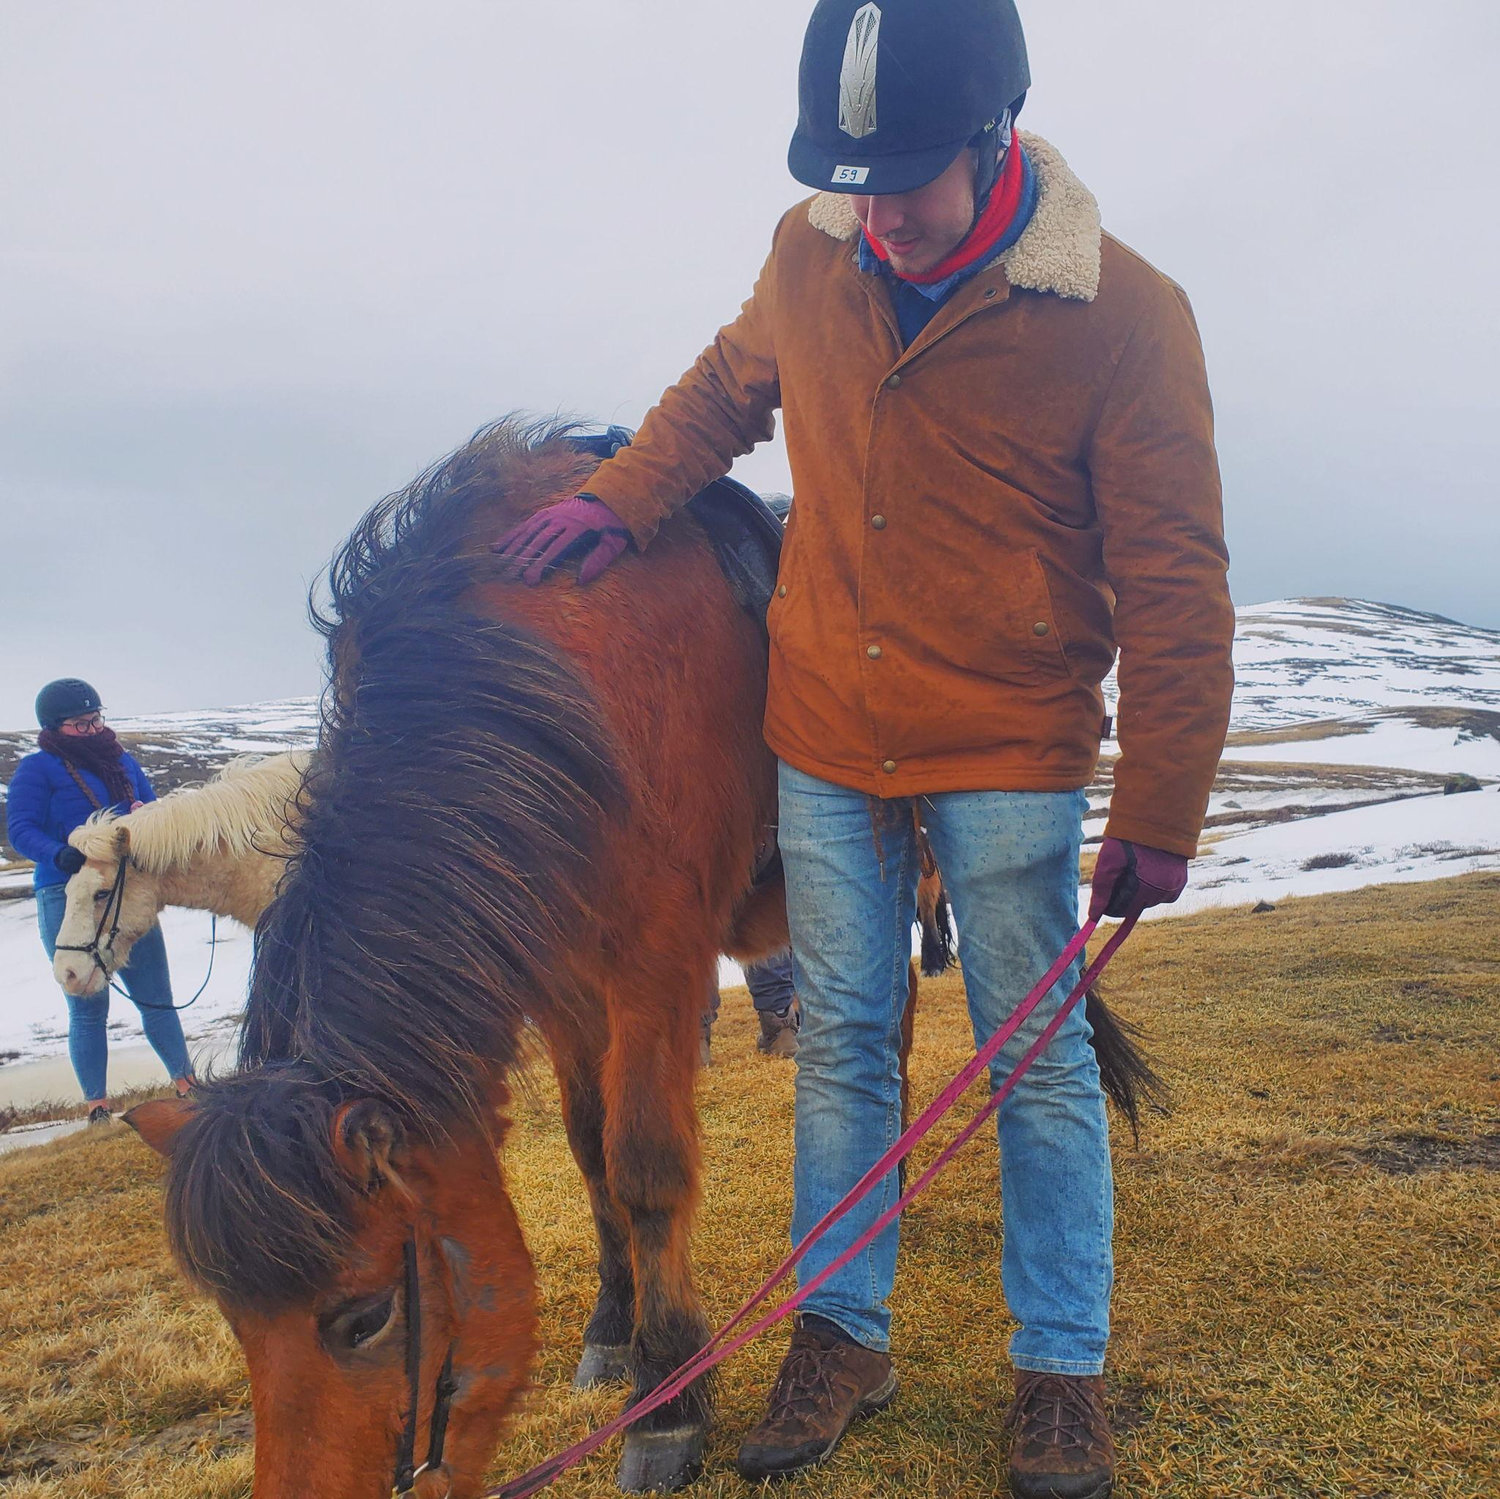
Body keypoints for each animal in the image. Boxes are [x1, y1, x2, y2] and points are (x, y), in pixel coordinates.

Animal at [124, 418, 1156, 1499]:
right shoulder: (563, 984)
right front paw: (613, 1331)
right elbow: (589, 1157)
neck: (555, 690)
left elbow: (645, 1165)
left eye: (362, 1315)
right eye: (236, 1326)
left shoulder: (656, 963)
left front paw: (668, 1397)